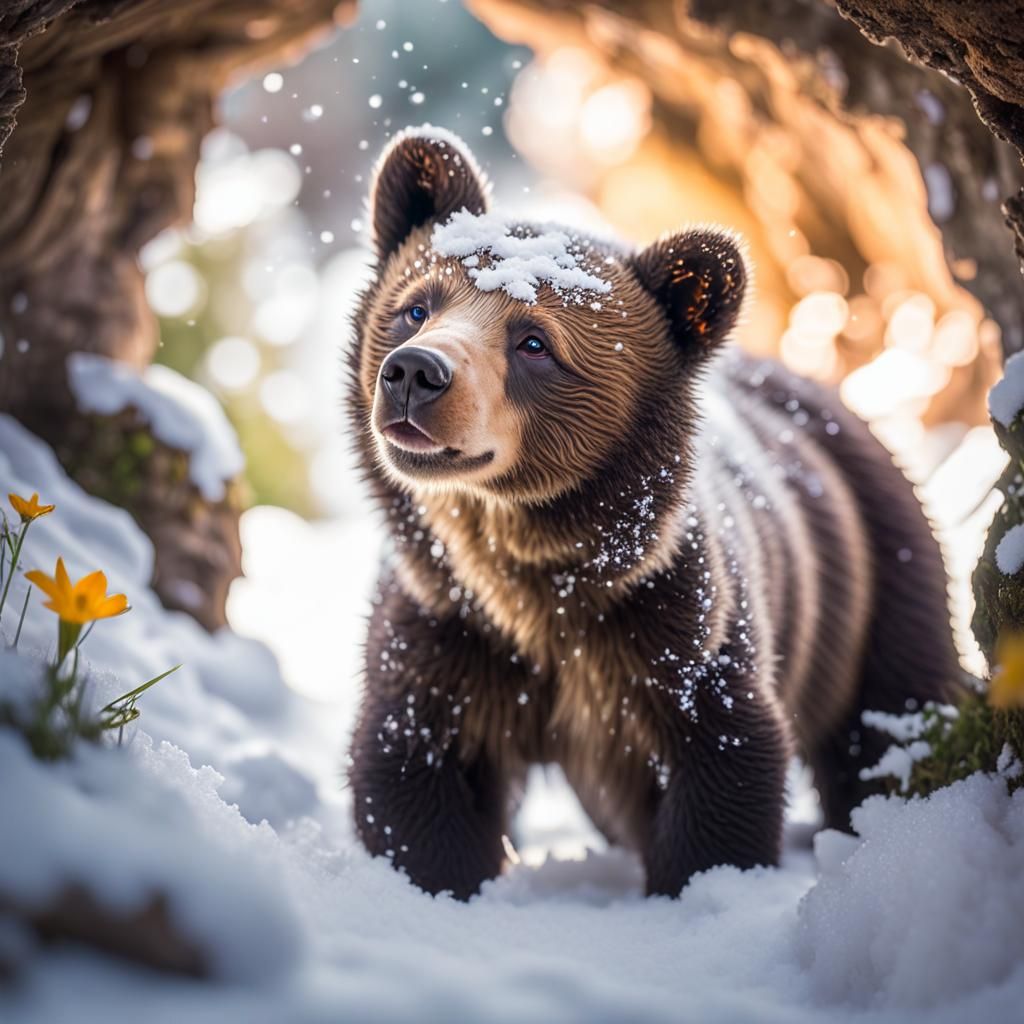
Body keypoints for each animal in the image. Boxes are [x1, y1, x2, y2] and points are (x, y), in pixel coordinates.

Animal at [345, 125, 960, 900]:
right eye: (417, 306)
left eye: (534, 341)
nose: (415, 373)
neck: (535, 576)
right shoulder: (446, 626)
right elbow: (412, 777)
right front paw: (434, 881)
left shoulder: (675, 625)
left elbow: (725, 764)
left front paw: (700, 885)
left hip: (877, 571)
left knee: (893, 715)